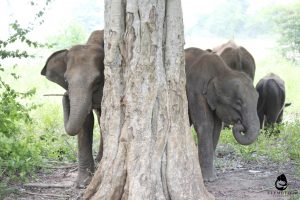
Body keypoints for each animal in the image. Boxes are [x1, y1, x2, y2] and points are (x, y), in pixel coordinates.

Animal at [184, 47, 258, 181]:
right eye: (238, 102)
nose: (240, 124)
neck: (222, 71)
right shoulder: (195, 90)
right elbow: (205, 125)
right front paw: (208, 179)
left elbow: (217, 128)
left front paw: (213, 177)